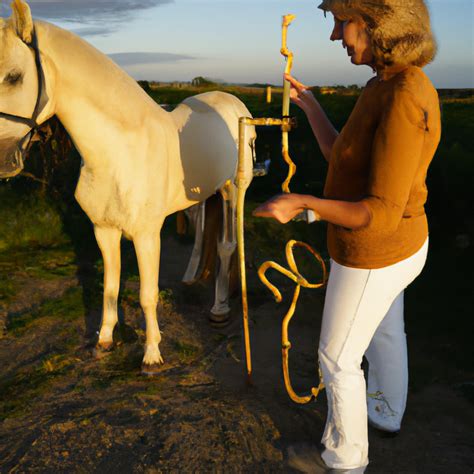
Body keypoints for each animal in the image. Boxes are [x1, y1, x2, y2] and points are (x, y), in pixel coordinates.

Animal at [0, 0, 256, 372]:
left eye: (14, 77)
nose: (3, 160)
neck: (119, 152)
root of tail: (231, 100)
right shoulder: (103, 230)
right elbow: (110, 286)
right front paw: (105, 340)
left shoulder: (147, 235)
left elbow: (147, 294)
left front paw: (151, 354)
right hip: (203, 195)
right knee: (200, 232)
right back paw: (193, 277)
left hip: (234, 190)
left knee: (227, 246)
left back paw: (220, 309)